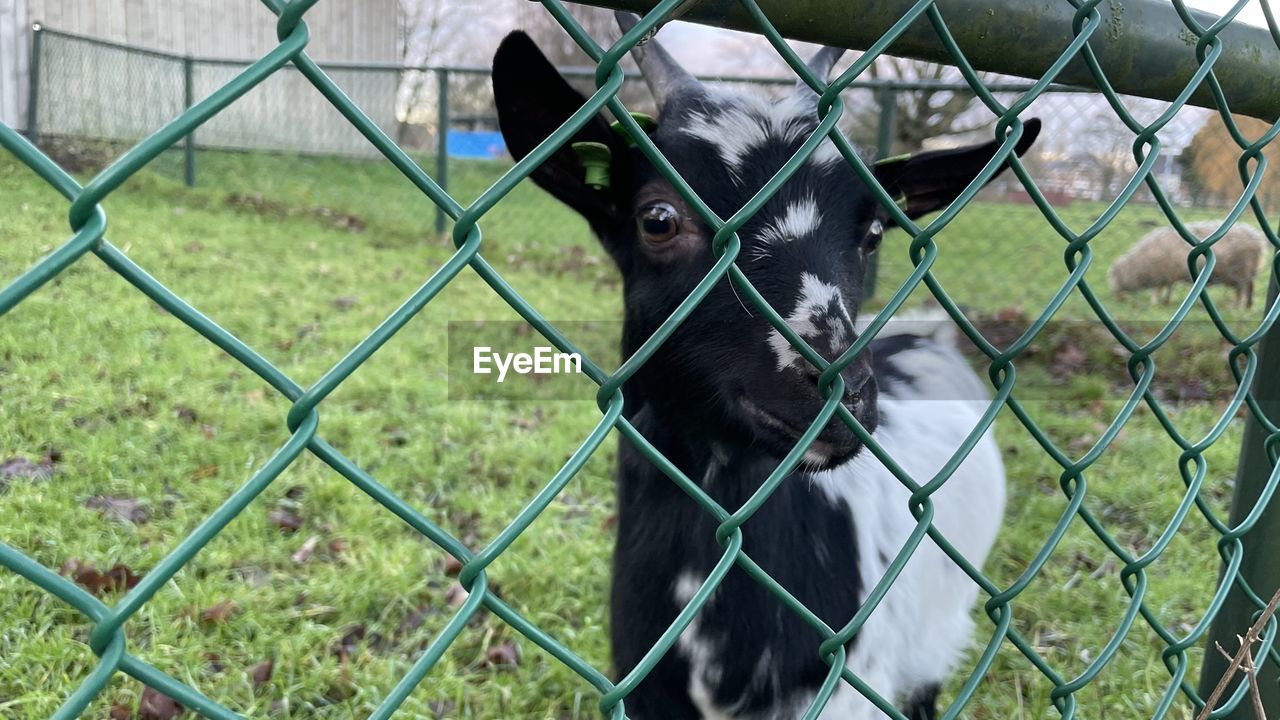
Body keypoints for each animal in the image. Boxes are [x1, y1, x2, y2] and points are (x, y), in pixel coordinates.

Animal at [1105, 220, 1274, 307]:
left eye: (1113, 277)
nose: (1116, 298)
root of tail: (1258, 240)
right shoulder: (1166, 275)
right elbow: (1166, 288)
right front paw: (1163, 301)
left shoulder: (1165, 273)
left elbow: (1161, 289)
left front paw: (1158, 302)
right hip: (1248, 272)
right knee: (1250, 288)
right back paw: (1248, 306)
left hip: (1241, 272)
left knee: (1242, 289)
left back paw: (1237, 307)